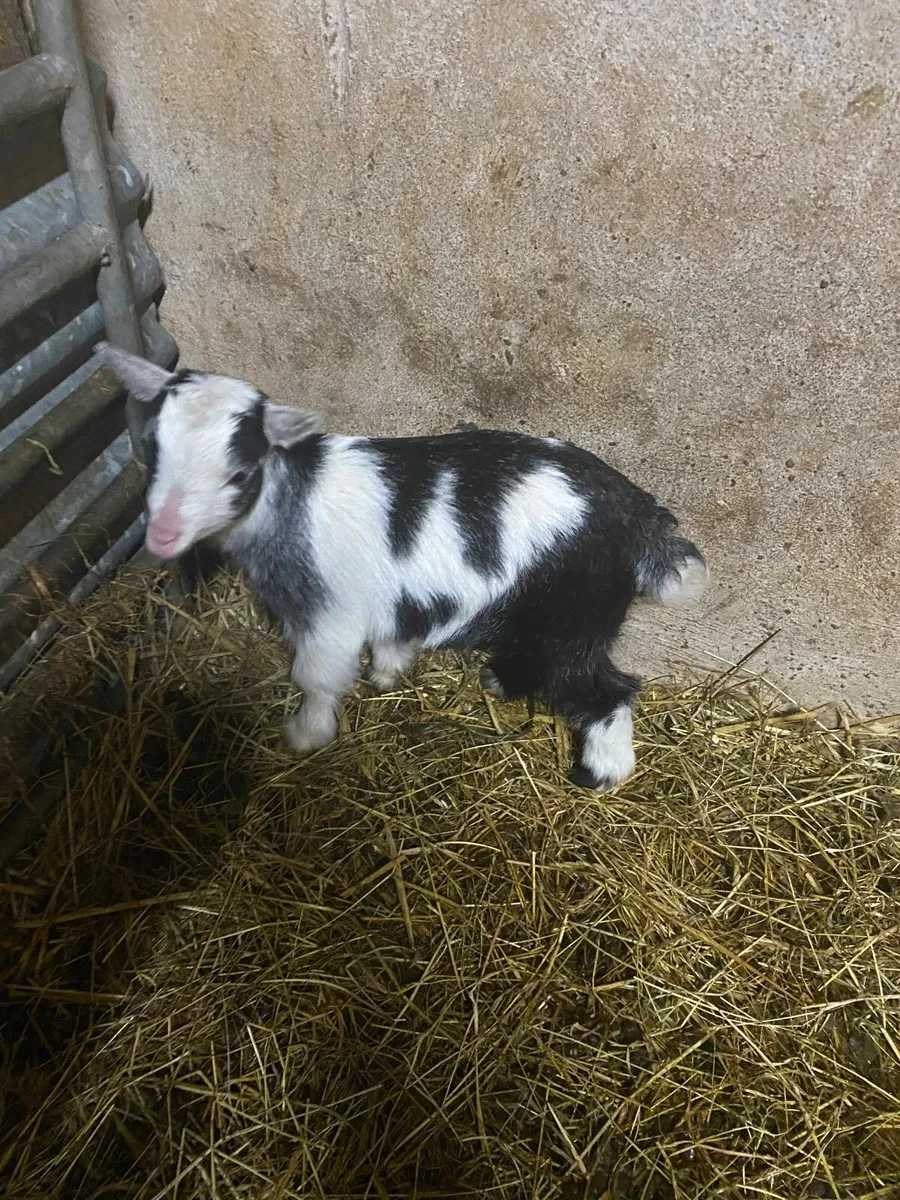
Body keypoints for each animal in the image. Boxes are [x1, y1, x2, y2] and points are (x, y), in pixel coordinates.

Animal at [98, 343, 707, 790]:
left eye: (240, 474)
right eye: (151, 448)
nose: (162, 535)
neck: (293, 497)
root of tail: (640, 520)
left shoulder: (327, 614)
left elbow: (315, 677)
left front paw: (304, 734)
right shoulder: (392, 595)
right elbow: (394, 632)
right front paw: (388, 673)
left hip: (571, 615)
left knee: (609, 690)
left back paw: (599, 772)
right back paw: (499, 682)